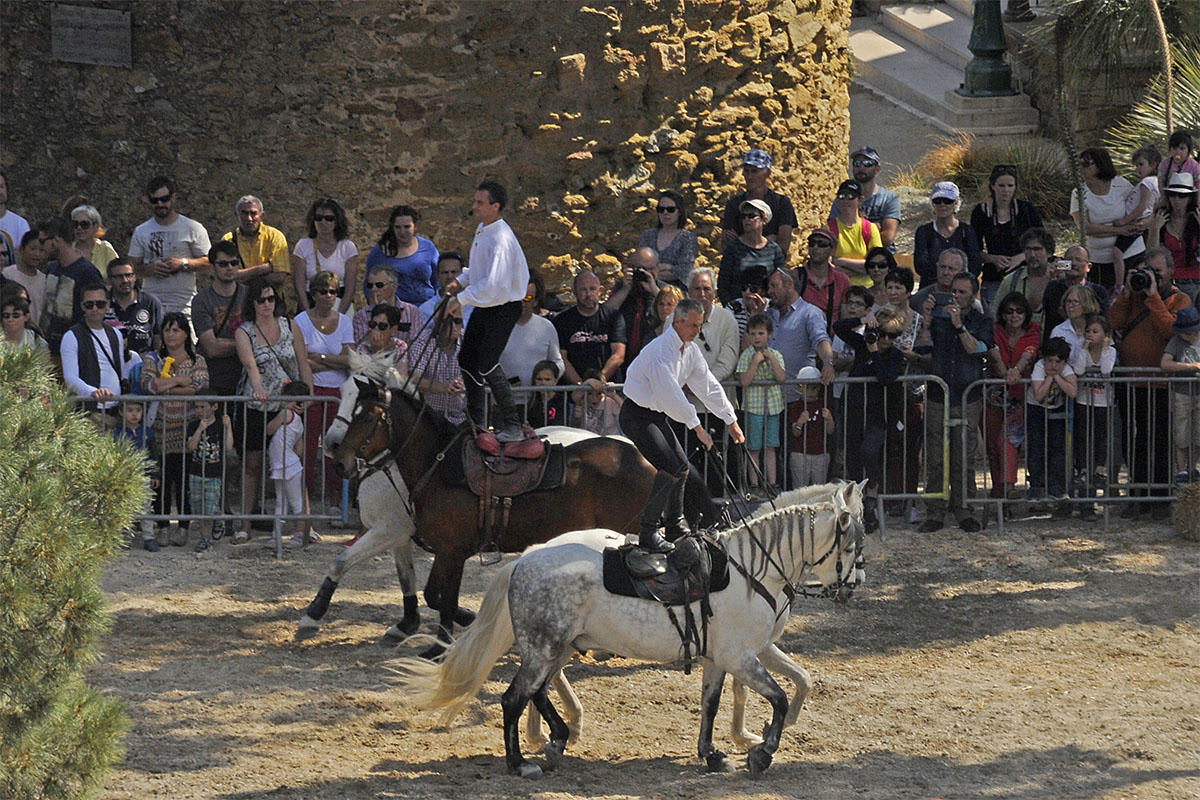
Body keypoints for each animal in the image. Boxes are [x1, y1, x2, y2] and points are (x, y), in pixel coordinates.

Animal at [326, 381, 720, 657]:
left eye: (366, 416)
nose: (338, 460)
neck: (439, 465)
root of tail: (645, 459)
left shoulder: (453, 551)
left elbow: (445, 599)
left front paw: (442, 645)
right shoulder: (445, 551)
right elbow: (434, 595)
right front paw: (458, 627)